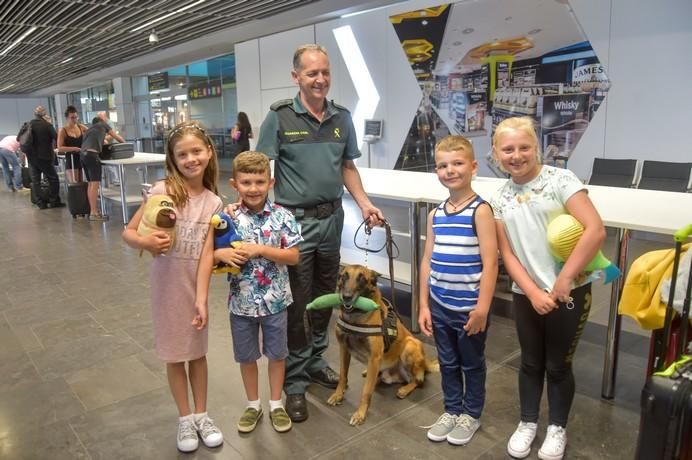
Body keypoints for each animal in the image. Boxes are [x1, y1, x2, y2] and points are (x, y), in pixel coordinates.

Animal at [326, 264, 436, 426]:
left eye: (362, 279)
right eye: (343, 276)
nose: (346, 296)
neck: (356, 317)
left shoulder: (374, 357)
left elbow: (366, 391)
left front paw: (360, 414)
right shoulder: (344, 350)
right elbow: (343, 376)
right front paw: (338, 395)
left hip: (410, 345)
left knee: (418, 379)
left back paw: (404, 389)